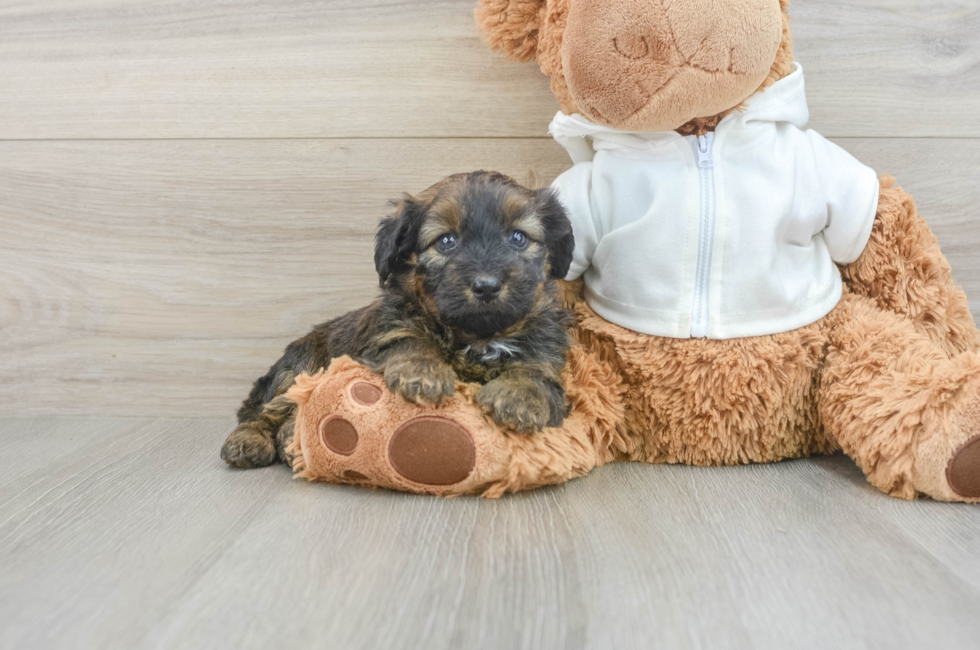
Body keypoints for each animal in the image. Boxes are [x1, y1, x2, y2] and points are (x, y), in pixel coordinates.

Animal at [221, 171, 576, 466]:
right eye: (446, 241)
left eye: (518, 238)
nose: (487, 285)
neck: (476, 337)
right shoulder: (385, 332)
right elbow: (408, 338)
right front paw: (423, 372)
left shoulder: (545, 353)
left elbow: (537, 373)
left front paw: (517, 396)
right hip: (298, 369)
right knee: (264, 410)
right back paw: (249, 441)